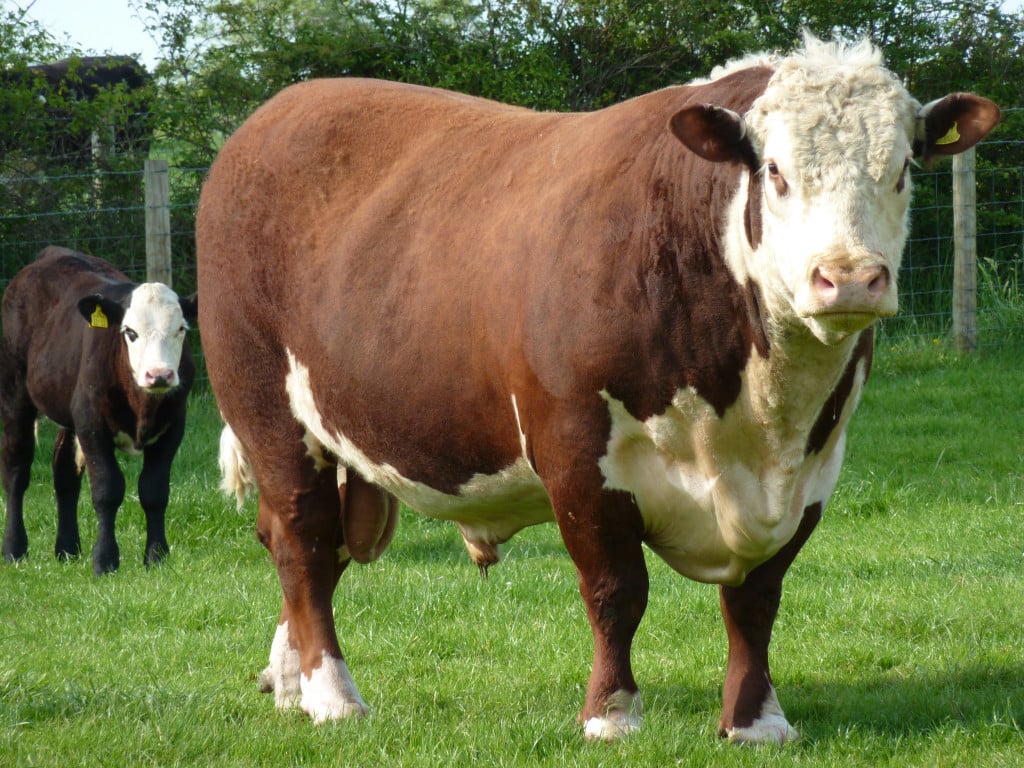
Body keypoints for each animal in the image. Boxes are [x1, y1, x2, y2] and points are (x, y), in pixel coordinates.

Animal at [0, 249, 197, 573]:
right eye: (130, 332)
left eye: (180, 329)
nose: (159, 375)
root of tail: (51, 252)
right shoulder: (92, 424)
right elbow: (107, 489)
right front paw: (105, 561)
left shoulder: (173, 427)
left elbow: (154, 491)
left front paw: (156, 557)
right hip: (15, 394)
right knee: (16, 471)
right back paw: (14, 549)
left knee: (64, 472)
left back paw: (67, 549)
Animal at [195, 37, 995, 745]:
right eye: (774, 170)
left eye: (903, 168)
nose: (850, 278)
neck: (754, 420)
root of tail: (279, 109)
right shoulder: (577, 452)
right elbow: (616, 590)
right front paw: (611, 715)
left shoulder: (813, 468)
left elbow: (756, 599)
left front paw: (756, 721)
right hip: (266, 407)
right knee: (302, 539)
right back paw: (333, 696)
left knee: (306, 546)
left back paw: (290, 682)